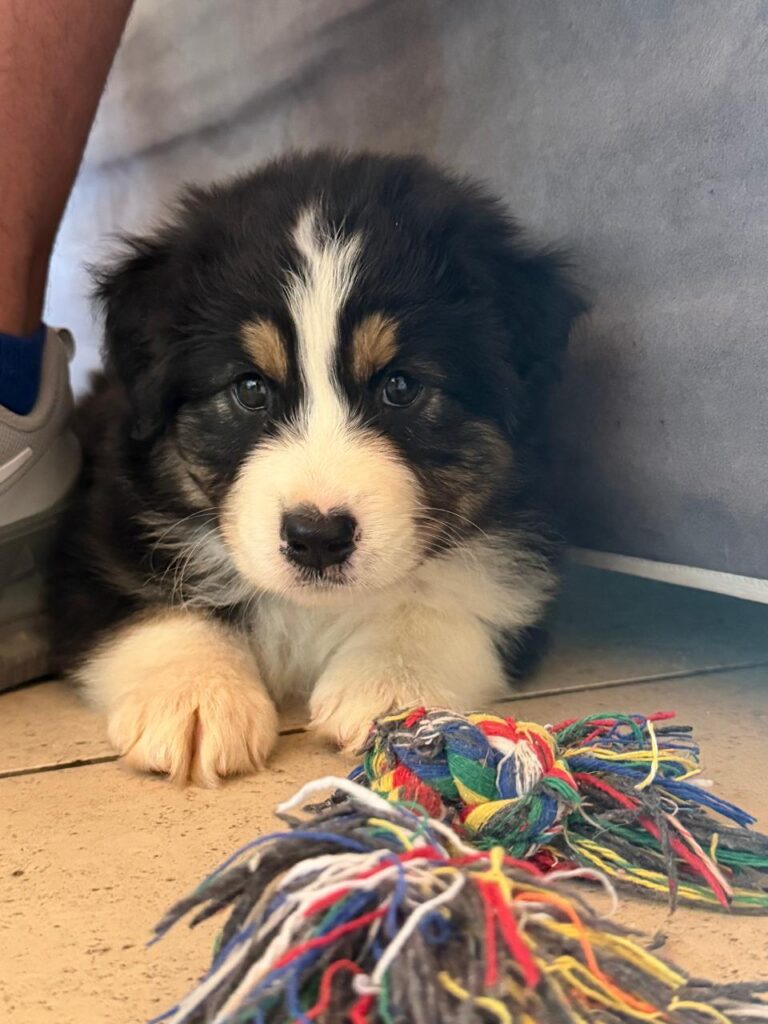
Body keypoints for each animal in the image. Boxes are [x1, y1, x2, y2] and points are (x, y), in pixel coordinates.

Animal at [49, 151, 584, 786]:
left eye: (400, 386)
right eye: (250, 388)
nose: (318, 538)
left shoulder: (521, 548)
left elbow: (453, 595)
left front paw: (392, 688)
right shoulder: (98, 536)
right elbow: (156, 603)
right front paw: (196, 697)